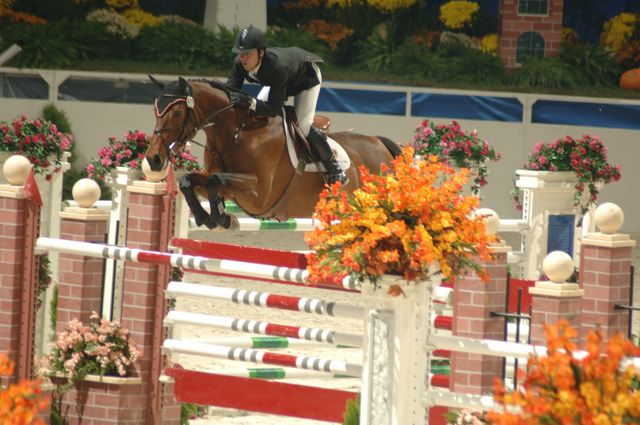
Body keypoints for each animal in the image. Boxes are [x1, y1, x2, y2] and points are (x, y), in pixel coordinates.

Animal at [145, 76, 400, 229]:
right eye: (155, 110)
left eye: (177, 113)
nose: (153, 159)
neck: (237, 132)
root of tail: (380, 144)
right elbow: (189, 181)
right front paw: (209, 217)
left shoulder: (259, 194)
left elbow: (216, 179)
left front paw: (219, 217)